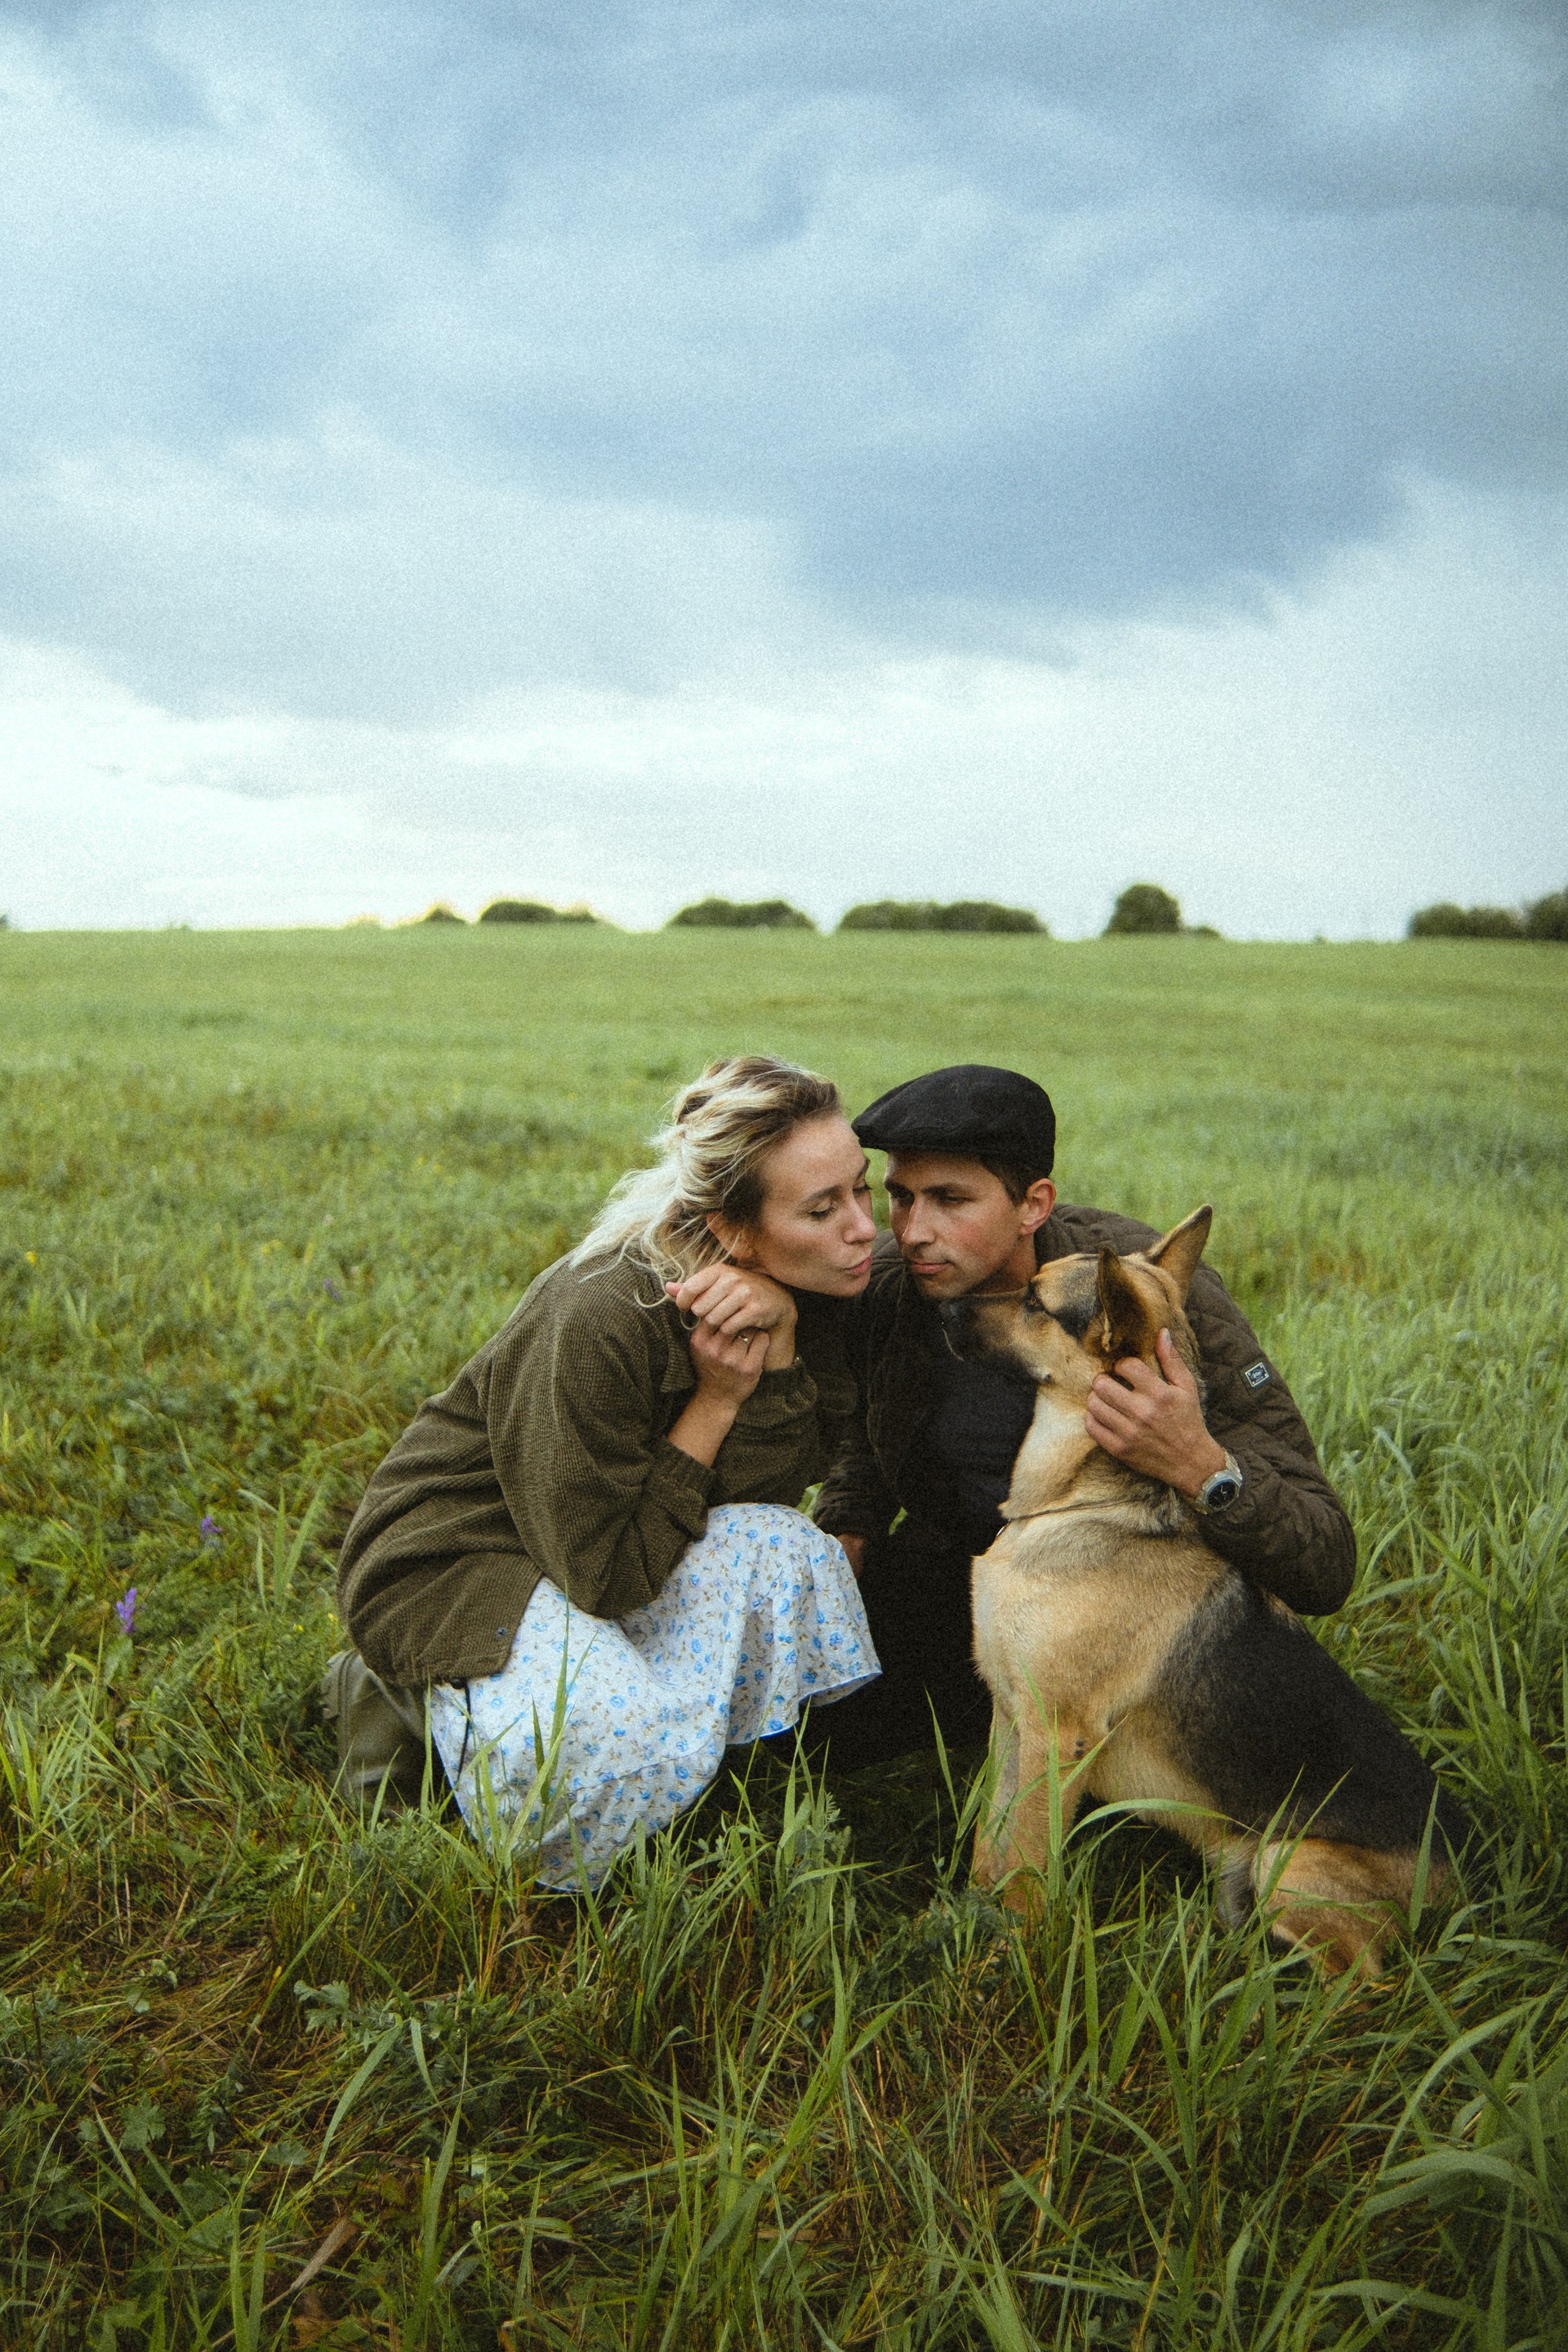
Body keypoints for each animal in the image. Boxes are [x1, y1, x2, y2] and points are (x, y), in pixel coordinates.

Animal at [939, 1208, 1466, 1975]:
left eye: (1035, 1302)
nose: (941, 1307)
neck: (1086, 1502)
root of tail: (1464, 1877)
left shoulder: (1055, 1736)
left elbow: (1027, 1868)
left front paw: (1009, 1961)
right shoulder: (1010, 1720)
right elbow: (991, 1842)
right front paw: (971, 1929)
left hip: (1288, 1863)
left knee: (1367, 1981)